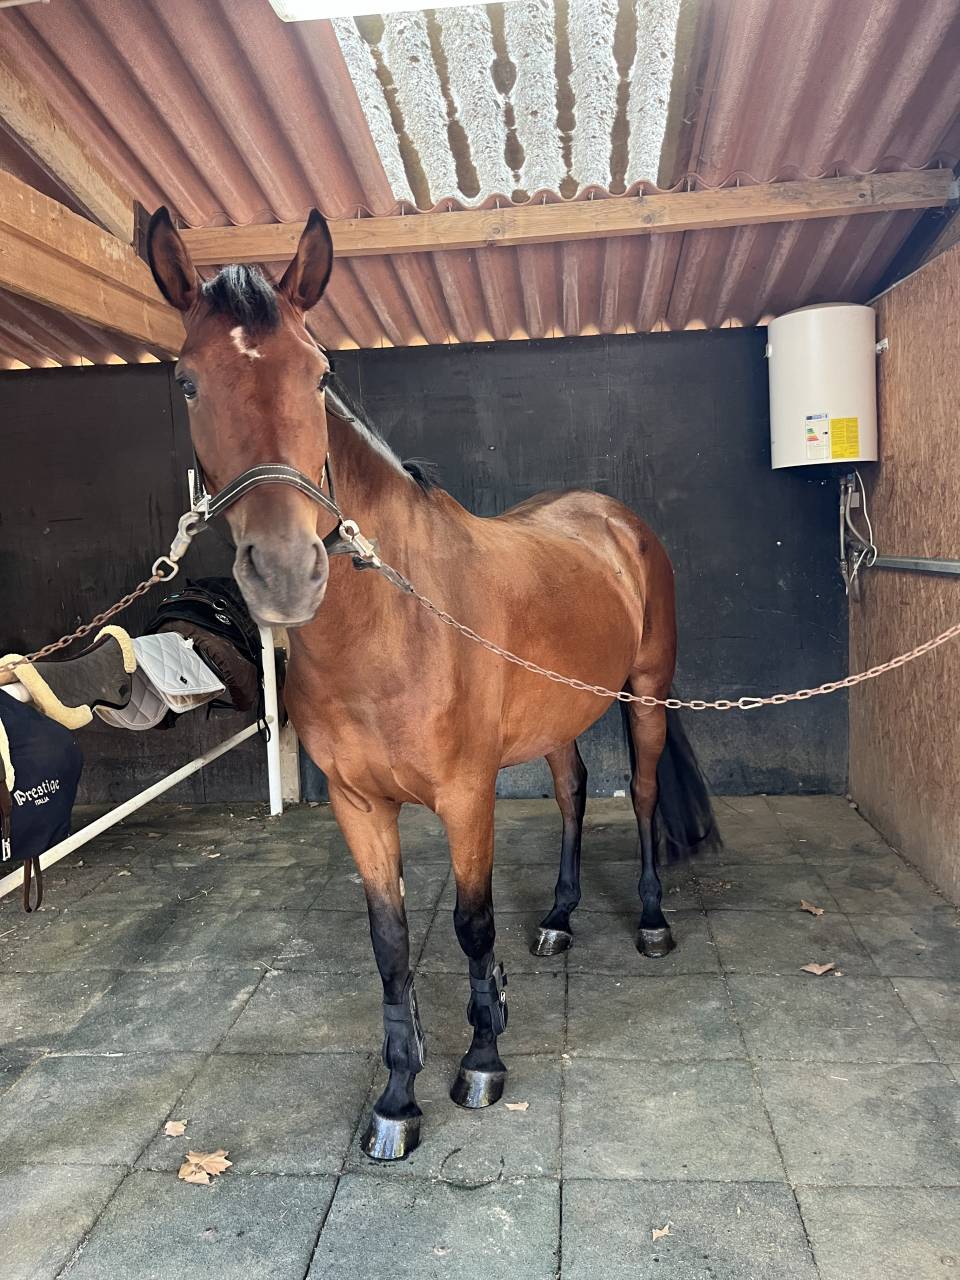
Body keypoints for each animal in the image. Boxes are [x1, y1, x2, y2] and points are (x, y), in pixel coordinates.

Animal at [146, 207, 720, 1161]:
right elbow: (392, 941)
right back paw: (559, 919)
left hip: (643, 693)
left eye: (319, 373)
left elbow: (470, 923)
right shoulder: (358, 805)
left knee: (638, 795)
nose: (286, 570)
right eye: (188, 383)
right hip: (559, 715)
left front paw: (482, 1060)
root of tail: (612, 518)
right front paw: (396, 1099)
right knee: (572, 793)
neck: (392, 629)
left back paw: (649, 922)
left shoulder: (464, 795)